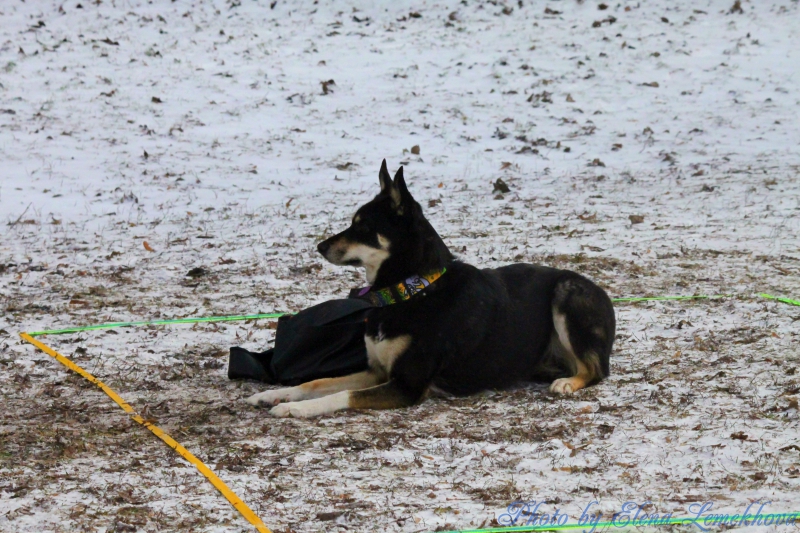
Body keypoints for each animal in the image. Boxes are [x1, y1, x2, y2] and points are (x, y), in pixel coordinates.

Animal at [246, 160, 616, 417]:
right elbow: (316, 383)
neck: (410, 290)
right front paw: (272, 395)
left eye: (362, 227)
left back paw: (568, 382)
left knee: (596, 370)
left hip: (567, 294)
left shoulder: (407, 385)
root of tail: (602, 292)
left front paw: (294, 409)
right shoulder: (376, 370)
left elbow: (339, 395)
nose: (320, 247)